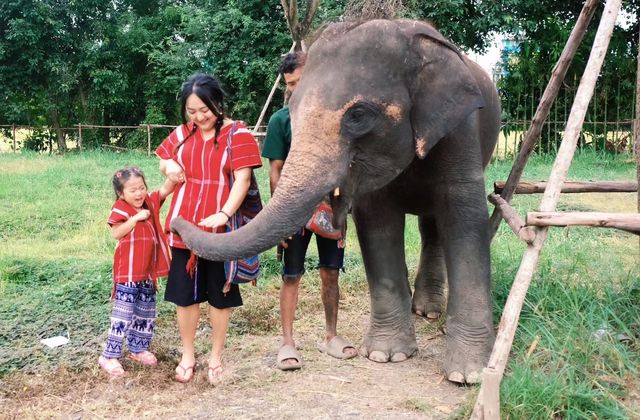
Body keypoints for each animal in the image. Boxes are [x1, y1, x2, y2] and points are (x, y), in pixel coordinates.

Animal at [172, 19, 502, 384]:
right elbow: (376, 223)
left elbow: (465, 221)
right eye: (293, 110)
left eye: (357, 115)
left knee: (433, 228)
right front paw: (385, 355)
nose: (176, 222)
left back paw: (428, 312)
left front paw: (470, 375)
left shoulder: (461, 130)